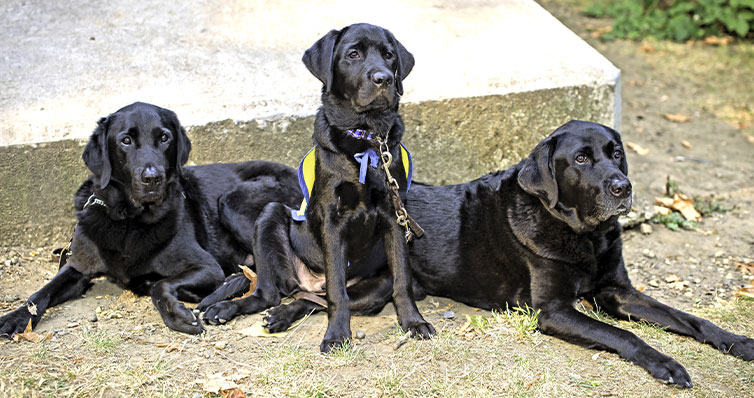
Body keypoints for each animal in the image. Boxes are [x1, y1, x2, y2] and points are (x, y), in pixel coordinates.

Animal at [0, 102, 300, 336]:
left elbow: (159, 284)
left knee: (270, 289)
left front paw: (176, 314)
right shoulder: (77, 267)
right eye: (126, 140)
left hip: (232, 202)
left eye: (164, 138)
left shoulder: (207, 267)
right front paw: (14, 317)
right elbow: (41, 293)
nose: (152, 178)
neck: (128, 220)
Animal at [200, 24, 434, 352]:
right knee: (272, 294)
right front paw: (336, 335)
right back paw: (228, 308)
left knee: (311, 300)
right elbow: (337, 290)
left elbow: (402, 280)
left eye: (389, 55)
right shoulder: (332, 221)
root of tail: (311, 281)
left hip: (375, 286)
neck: (366, 139)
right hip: (269, 215)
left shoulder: (394, 217)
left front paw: (413, 322)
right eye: (353, 54)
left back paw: (282, 315)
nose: (384, 78)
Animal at [207, 120, 752, 386]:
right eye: (581, 159)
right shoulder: (554, 310)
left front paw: (738, 342)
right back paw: (236, 309)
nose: (623, 187)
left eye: (615, 153)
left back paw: (282, 315)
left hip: (374, 290)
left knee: (312, 296)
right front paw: (666, 365)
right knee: (307, 293)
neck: (582, 233)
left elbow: (690, 319)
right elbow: (625, 336)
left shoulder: (618, 291)